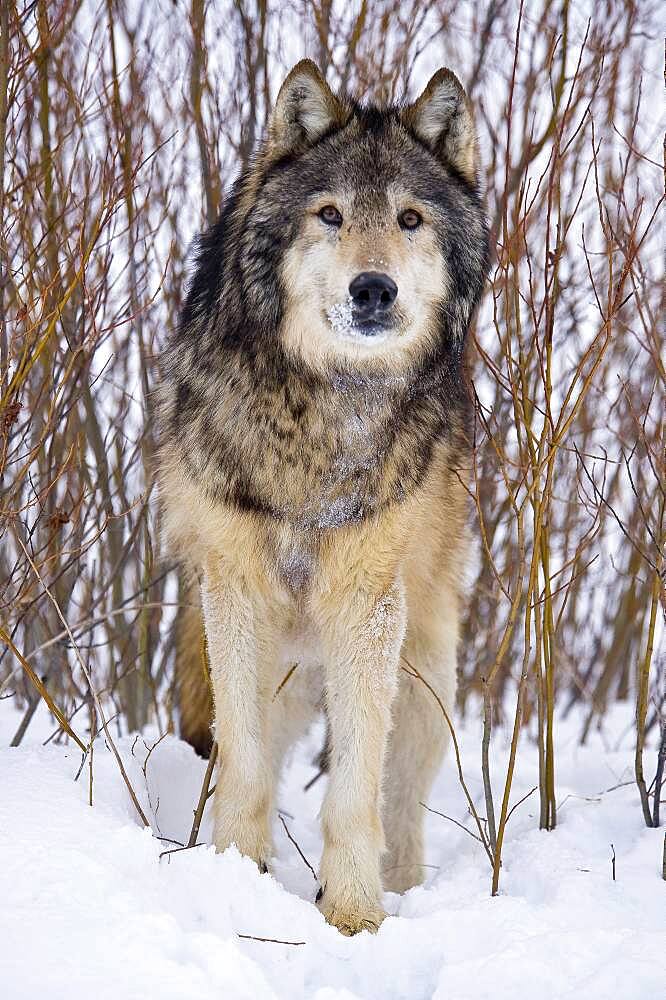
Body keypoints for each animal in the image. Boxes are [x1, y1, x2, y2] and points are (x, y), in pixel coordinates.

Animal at [157, 60, 488, 936]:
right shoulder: (234, 594)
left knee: (401, 802)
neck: (322, 413)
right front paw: (234, 879)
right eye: (330, 214)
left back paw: (401, 890)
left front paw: (354, 917)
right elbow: (243, 771)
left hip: (426, 680)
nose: (372, 289)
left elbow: (354, 792)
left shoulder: (366, 606)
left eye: (408, 219)